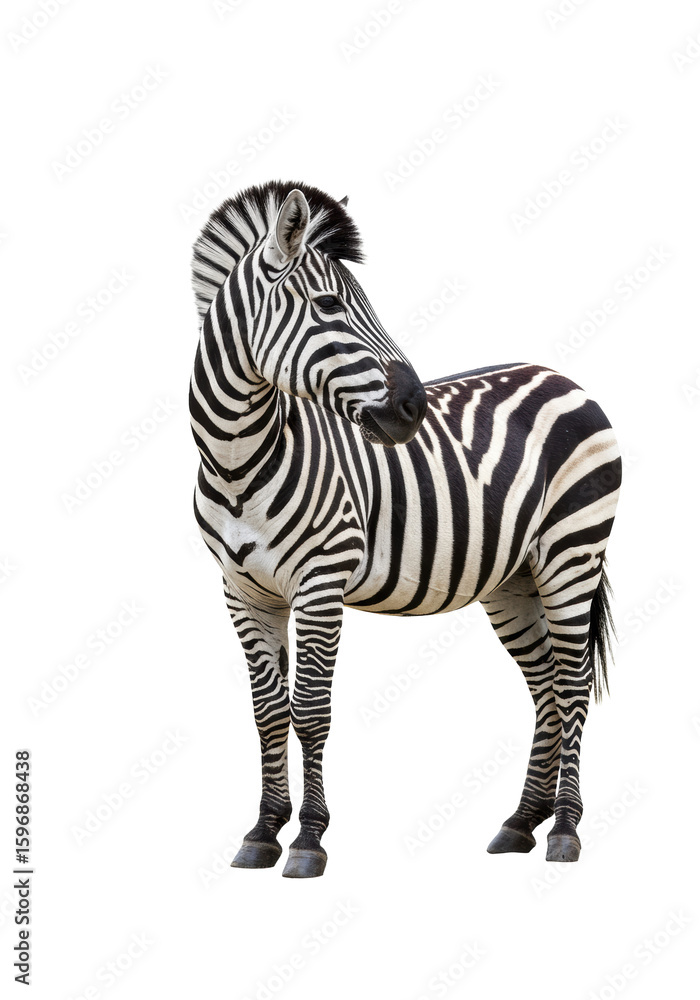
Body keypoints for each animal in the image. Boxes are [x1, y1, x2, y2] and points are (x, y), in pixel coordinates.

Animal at [190, 180, 621, 878]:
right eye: (329, 304)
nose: (413, 407)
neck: (239, 460)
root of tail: (566, 378)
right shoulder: (243, 591)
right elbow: (267, 714)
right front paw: (262, 831)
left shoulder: (320, 583)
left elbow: (311, 712)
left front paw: (308, 840)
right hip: (515, 579)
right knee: (546, 689)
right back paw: (521, 824)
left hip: (572, 553)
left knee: (575, 685)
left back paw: (565, 831)